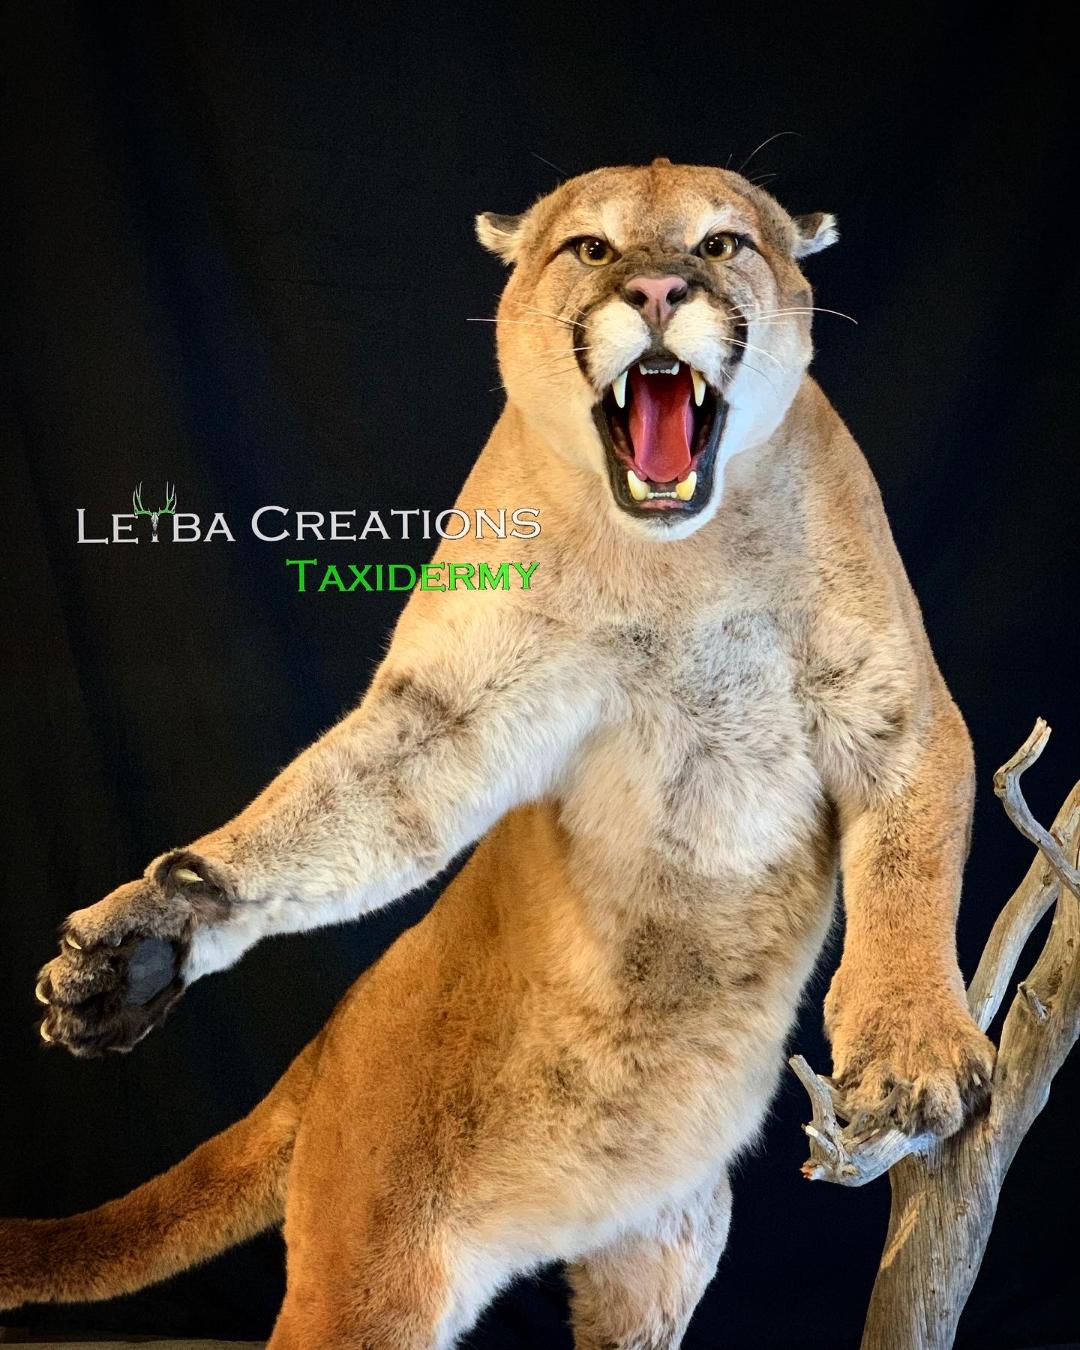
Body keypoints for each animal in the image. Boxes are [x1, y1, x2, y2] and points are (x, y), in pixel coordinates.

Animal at [0, 158, 994, 1349]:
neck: (681, 560)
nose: (658, 289)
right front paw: (147, 935)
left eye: (721, 243)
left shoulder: (897, 711)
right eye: (592, 249)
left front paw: (912, 1047)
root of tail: (323, 1053)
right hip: (367, 1272)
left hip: (660, 1253)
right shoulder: (454, 711)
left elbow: (910, 869)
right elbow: (348, 801)